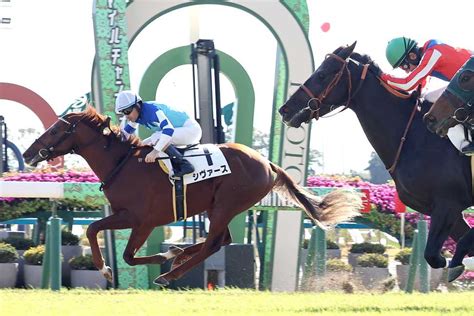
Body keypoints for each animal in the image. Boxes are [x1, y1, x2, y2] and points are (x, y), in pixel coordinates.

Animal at [22, 107, 362, 286]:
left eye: (56, 131)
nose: (27, 154)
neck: (123, 164)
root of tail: (267, 163)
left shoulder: (141, 219)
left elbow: (120, 249)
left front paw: (113, 268)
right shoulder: (124, 215)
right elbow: (96, 231)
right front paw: (162, 255)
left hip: (227, 204)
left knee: (214, 243)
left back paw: (171, 272)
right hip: (218, 207)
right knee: (221, 239)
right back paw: (179, 256)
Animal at [278, 42, 474, 282]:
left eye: (322, 74)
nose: (285, 109)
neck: (415, 136)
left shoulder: (448, 204)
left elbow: (437, 255)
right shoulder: (443, 210)